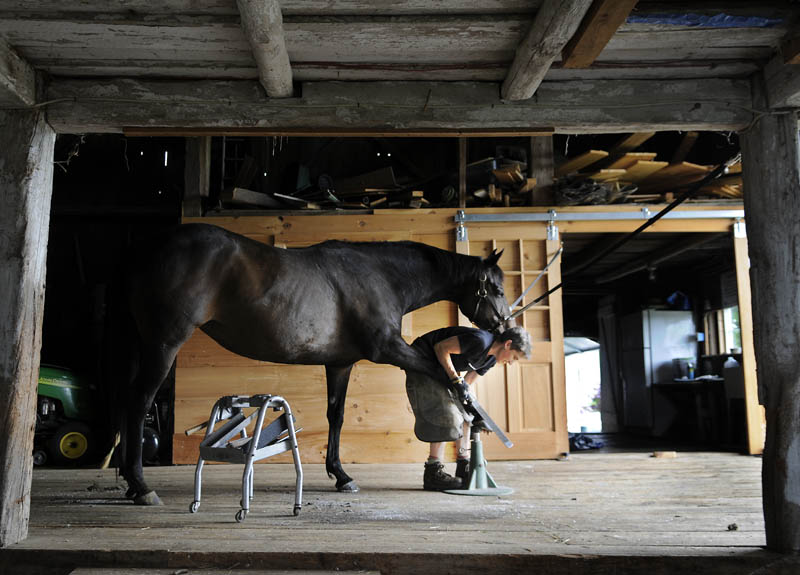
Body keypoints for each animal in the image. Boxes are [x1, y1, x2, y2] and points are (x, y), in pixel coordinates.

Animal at [122, 223, 510, 502]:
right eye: (496, 289)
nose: (504, 327)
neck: (381, 276)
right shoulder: (389, 349)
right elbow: (443, 376)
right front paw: (472, 430)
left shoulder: (340, 363)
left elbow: (335, 416)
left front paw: (340, 475)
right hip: (164, 346)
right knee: (138, 403)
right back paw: (141, 486)